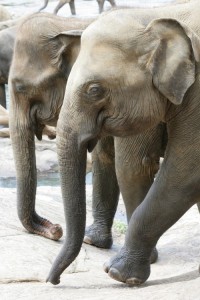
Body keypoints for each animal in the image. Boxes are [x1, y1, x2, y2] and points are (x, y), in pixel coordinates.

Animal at [45, 0, 200, 288]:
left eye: (94, 90)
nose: (53, 281)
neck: (159, 14)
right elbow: (134, 167)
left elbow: (185, 172)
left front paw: (118, 274)